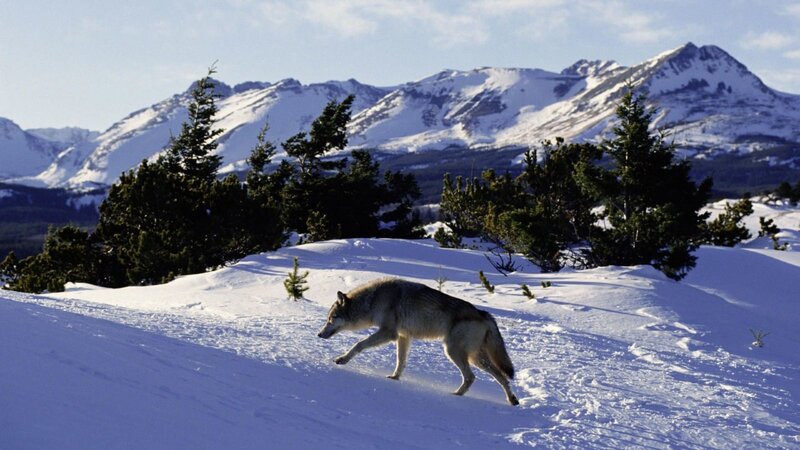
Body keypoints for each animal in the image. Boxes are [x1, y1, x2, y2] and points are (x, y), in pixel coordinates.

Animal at [317, 278, 519, 405]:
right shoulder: (402, 337)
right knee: (502, 377)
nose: (319, 334)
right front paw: (395, 378)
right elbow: (401, 361)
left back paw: (456, 395)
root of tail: (484, 314)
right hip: (476, 358)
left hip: (454, 352)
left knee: (471, 377)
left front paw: (342, 359)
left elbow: (359, 345)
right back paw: (512, 400)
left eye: (331, 319)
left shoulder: (388, 333)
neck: (374, 300)